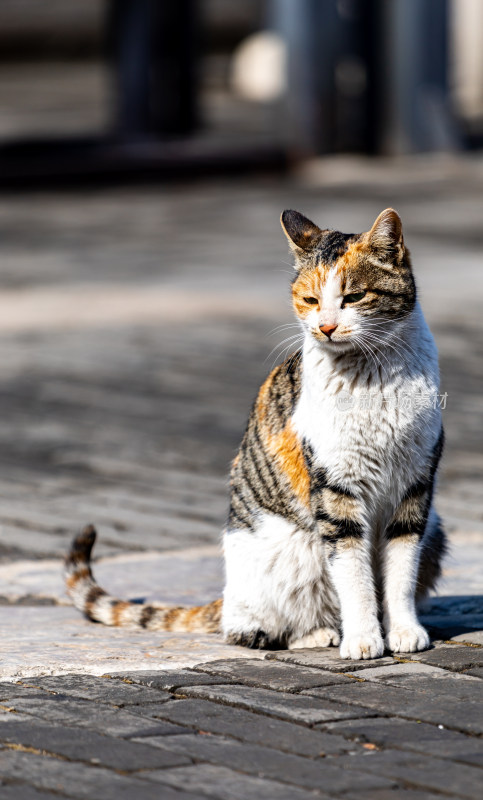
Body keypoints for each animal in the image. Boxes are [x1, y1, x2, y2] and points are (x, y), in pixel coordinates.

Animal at [66, 209, 448, 660]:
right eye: (310, 300)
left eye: (353, 297)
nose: (326, 327)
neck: (373, 376)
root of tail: (226, 596)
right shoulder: (335, 490)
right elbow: (353, 575)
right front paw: (362, 638)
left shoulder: (415, 486)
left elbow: (401, 572)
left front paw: (404, 631)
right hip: (289, 554)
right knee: (249, 629)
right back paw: (318, 634)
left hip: (435, 532)